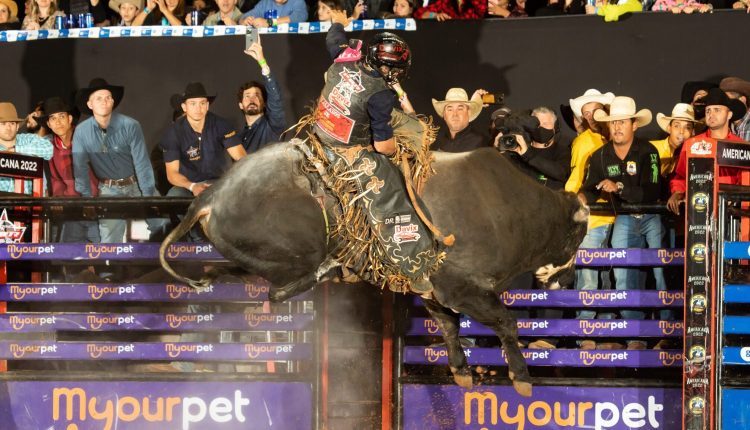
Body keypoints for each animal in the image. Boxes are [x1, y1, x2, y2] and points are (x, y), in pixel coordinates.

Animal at [160, 144, 592, 396]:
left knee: (252, 277)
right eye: (577, 237)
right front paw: (521, 377)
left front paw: (462, 372)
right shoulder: (462, 286)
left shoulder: (432, 291)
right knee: (280, 289)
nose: (564, 280)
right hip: (301, 242)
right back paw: (331, 267)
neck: (511, 208)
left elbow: (450, 327)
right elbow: (506, 322)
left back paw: (216, 274)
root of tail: (212, 195)